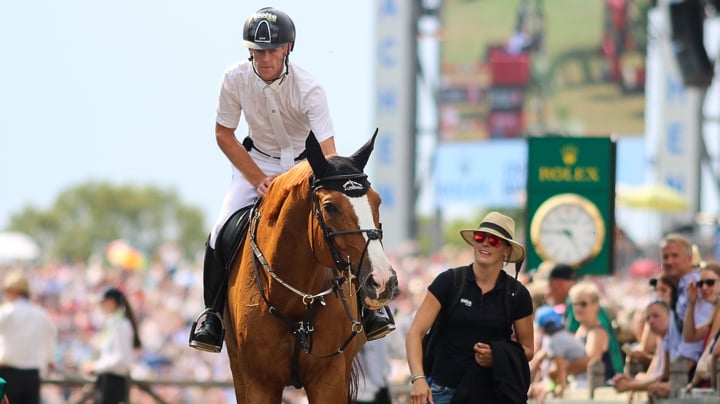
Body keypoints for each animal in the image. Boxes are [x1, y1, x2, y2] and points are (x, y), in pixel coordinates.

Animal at [225, 131, 400, 402]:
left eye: (378, 201)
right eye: (330, 207)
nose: (383, 281)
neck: (294, 299)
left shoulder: (329, 378)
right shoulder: (258, 383)